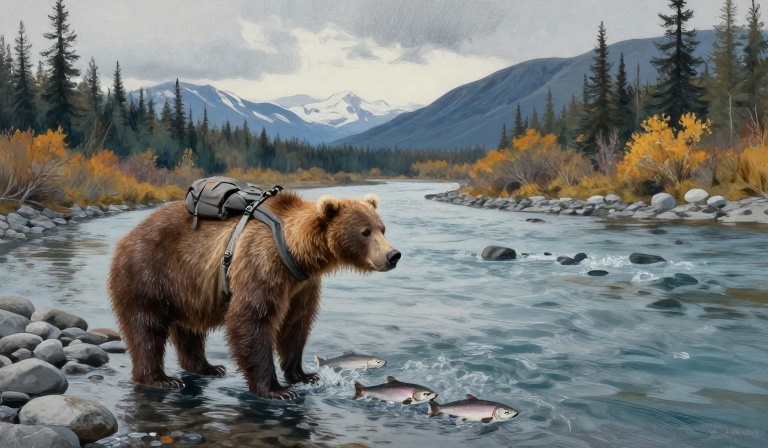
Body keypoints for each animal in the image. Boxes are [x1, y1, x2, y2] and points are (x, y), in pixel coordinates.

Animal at [108, 190, 399, 399]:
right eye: (365, 232)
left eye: (382, 228)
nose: (393, 255)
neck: (298, 252)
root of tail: (126, 237)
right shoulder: (262, 264)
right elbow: (253, 320)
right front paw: (277, 390)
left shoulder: (302, 286)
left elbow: (296, 325)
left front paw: (304, 375)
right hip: (148, 271)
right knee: (146, 327)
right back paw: (160, 379)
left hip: (187, 287)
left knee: (189, 329)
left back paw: (207, 367)